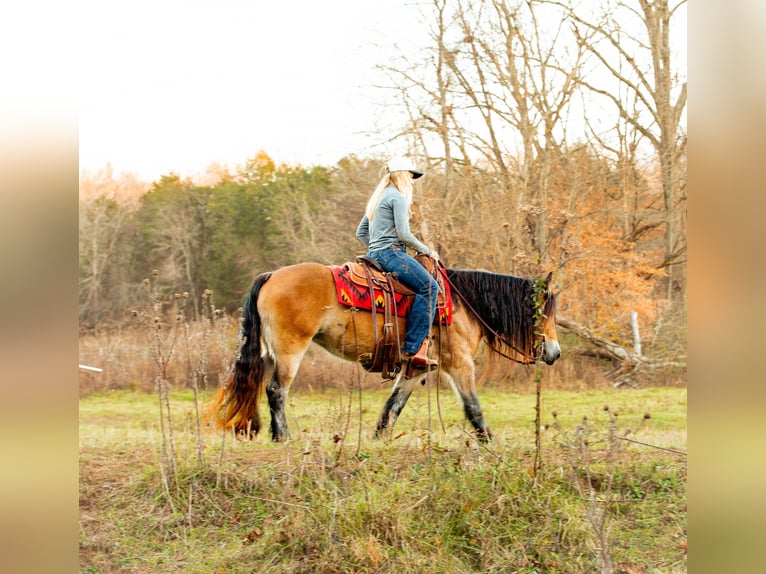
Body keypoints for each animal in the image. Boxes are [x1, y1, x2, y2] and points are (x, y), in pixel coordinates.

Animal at [208, 261, 560, 442]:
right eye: (543, 312)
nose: (555, 353)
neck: (464, 304)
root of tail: (270, 276)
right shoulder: (459, 364)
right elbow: (473, 408)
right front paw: (489, 442)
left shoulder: (418, 367)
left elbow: (393, 405)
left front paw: (378, 439)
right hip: (290, 351)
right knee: (275, 390)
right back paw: (282, 436)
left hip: (269, 353)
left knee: (256, 386)